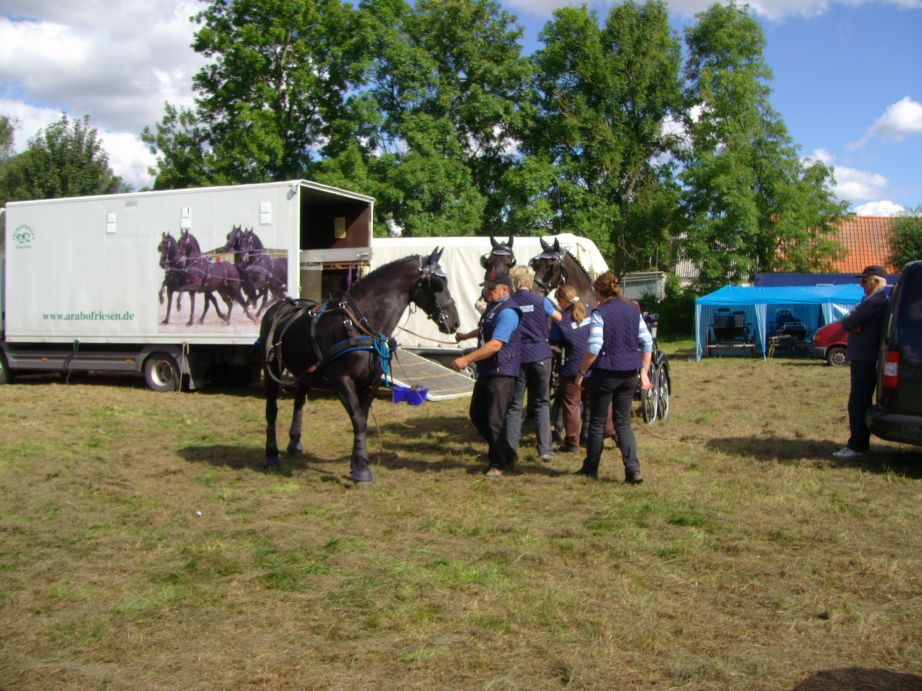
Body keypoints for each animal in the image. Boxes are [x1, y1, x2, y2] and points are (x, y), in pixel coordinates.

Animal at [258, 247, 460, 482]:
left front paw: (357, 463)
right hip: (271, 369)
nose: (455, 322)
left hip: (306, 371)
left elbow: (362, 419)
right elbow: (357, 418)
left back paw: (294, 441)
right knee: (271, 409)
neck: (359, 324)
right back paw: (271, 454)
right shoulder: (342, 380)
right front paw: (362, 469)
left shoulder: (371, 381)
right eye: (439, 283)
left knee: (299, 402)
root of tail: (283, 305)